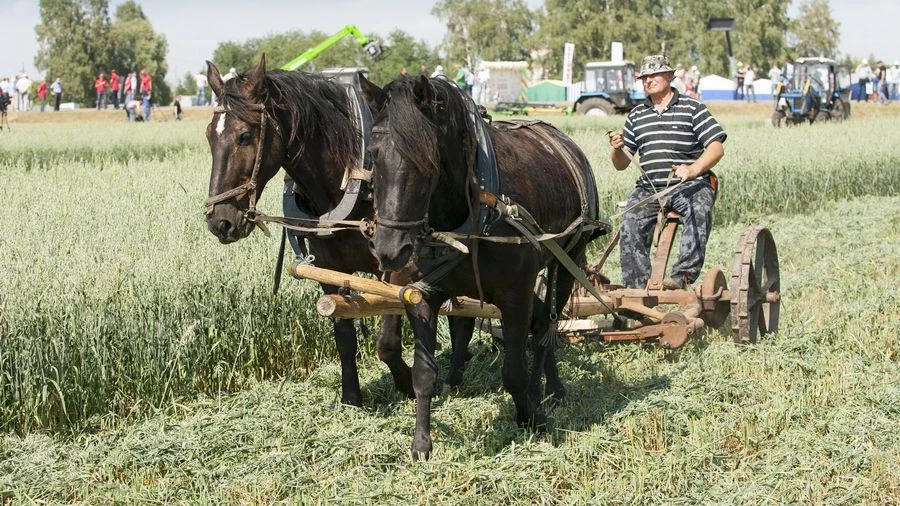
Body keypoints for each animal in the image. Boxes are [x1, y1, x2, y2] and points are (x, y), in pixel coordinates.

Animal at [203, 57, 478, 408]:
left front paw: (405, 382)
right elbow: (344, 334)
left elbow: (387, 339)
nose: (220, 222)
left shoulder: (399, 265)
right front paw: (351, 397)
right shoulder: (328, 268)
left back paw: (455, 374)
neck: (348, 180)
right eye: (210, 136)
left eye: (245, 136)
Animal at [360, 76, 604, 462]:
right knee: (541, 319)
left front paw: (532, 419)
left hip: (569, 259)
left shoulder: (515, 295)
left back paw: (546, 390)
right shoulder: (421, 294)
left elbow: (514, 371)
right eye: (373, 155)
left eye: (428, 160)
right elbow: (424, 374)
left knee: (548, 327)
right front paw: (421, 443)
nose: (389, 250)